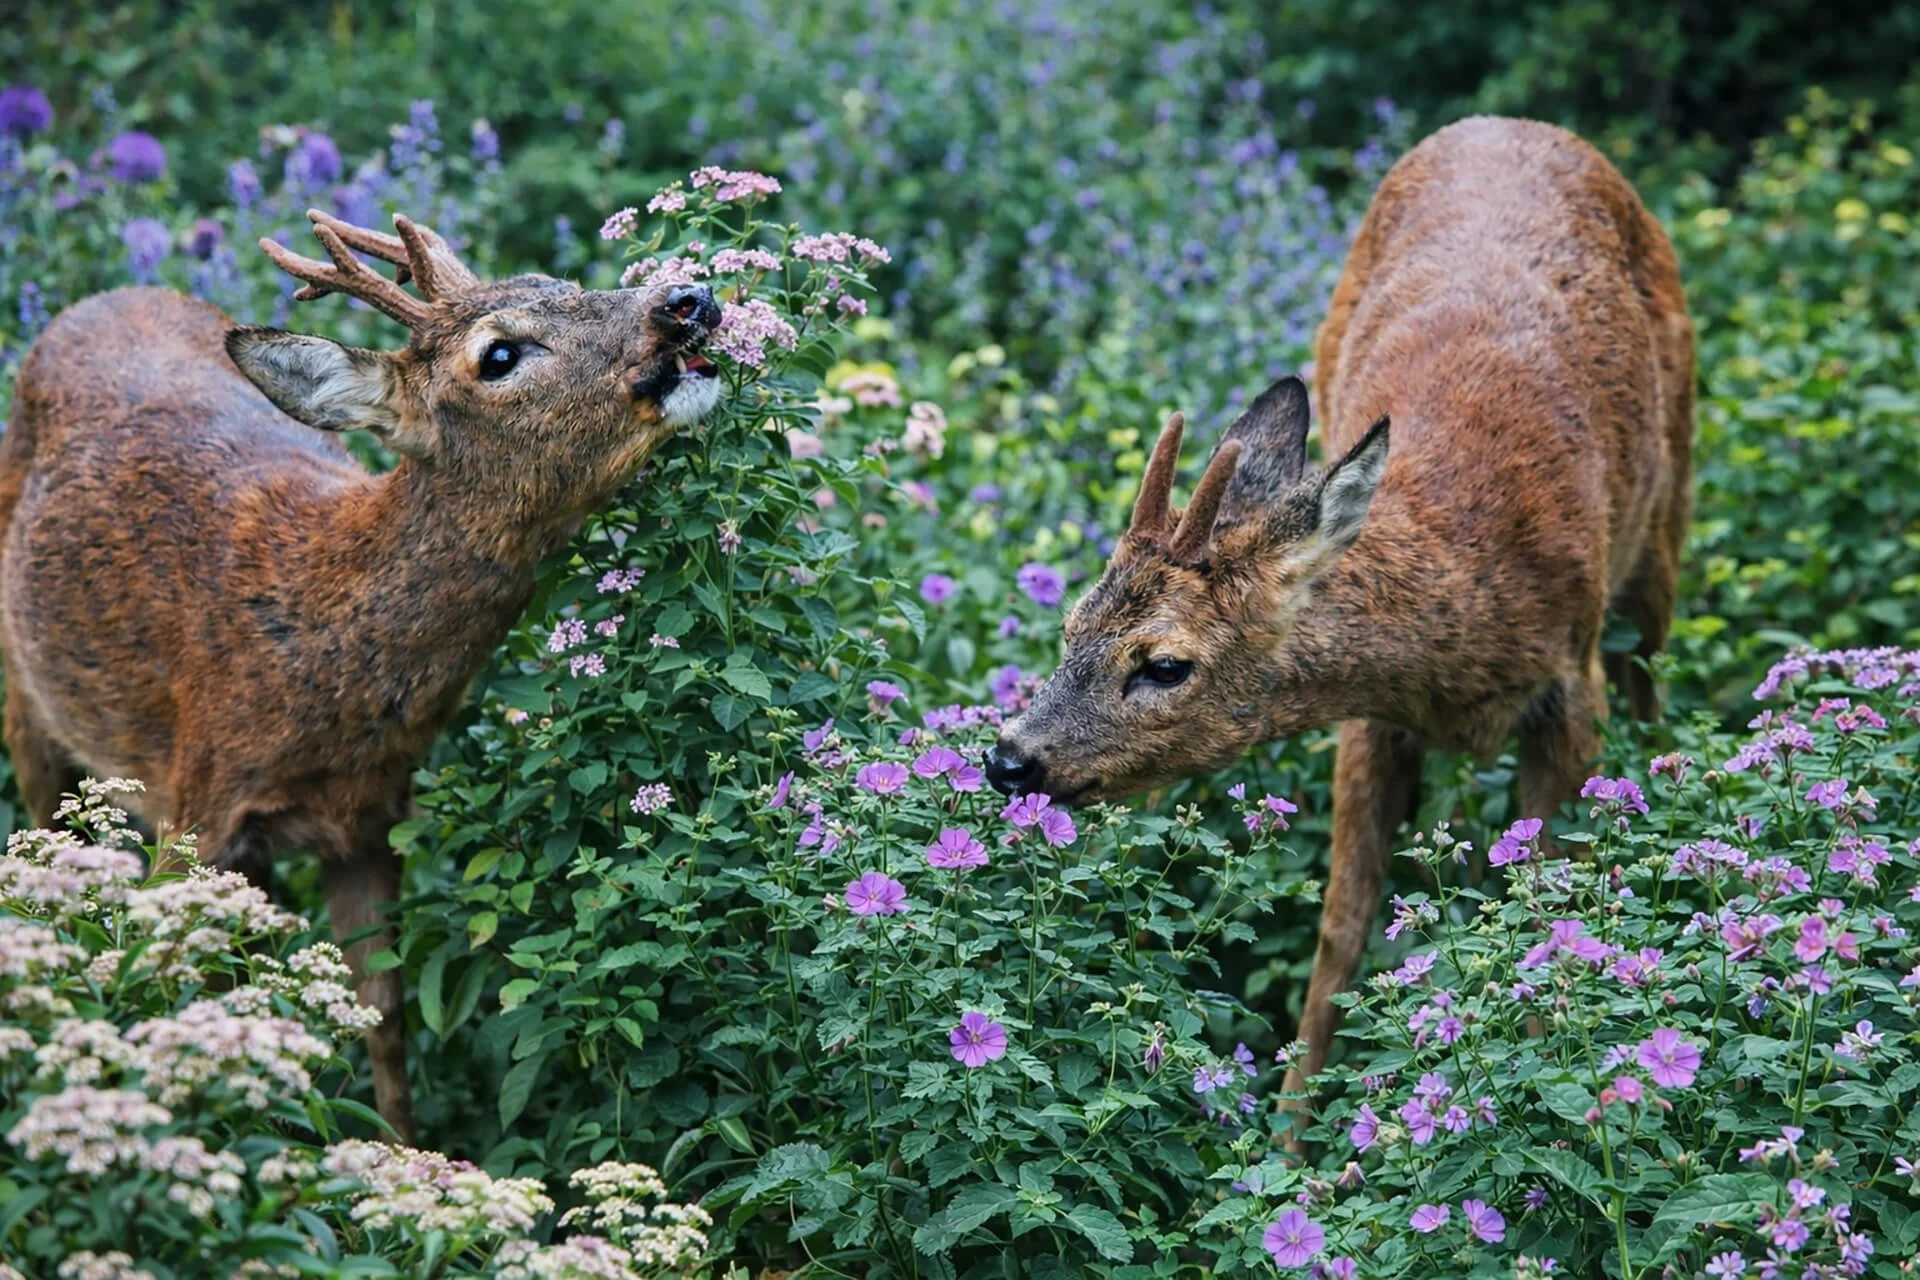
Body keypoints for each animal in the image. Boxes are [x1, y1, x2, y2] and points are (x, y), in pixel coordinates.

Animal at [0, 208, 726, 1141]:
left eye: (564, 283)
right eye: (498, 354)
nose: (687, 298)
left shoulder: (372, 819)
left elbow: (382, 1016)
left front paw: (405, 1154)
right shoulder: (195, 807)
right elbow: (180, 993)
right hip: (27, 700)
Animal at [983, 116, 1694, 1110]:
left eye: (1164, 664)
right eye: (1070, 627)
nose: (1008, 757)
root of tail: (1514, 125)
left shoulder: (1572, 688)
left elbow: (1551, 912)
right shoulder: (1369, 720)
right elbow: (1340, 934)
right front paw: (1288, 1130)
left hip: (1669, 511)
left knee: (1653, 685)